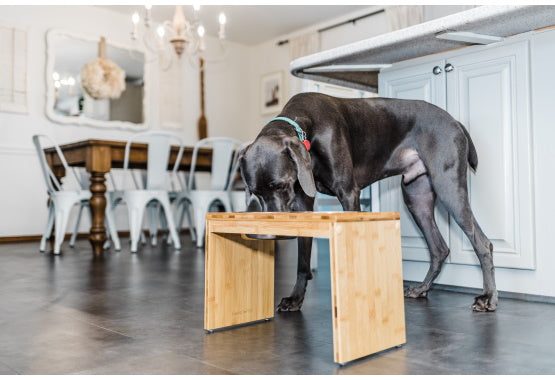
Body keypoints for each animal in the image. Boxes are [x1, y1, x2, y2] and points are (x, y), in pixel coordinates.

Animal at [239, 91, 500, 312]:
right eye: (254, 192)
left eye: (280, 185)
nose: (271, 233)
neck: (305, 129)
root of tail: (454, 121)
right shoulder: (304, 203)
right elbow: (302, 262)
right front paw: (295, 299)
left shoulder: (348, 194)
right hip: (417, 197)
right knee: (439, 249)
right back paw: (422, 289)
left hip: (448, 187)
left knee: (482, 243)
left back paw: (488, 298)